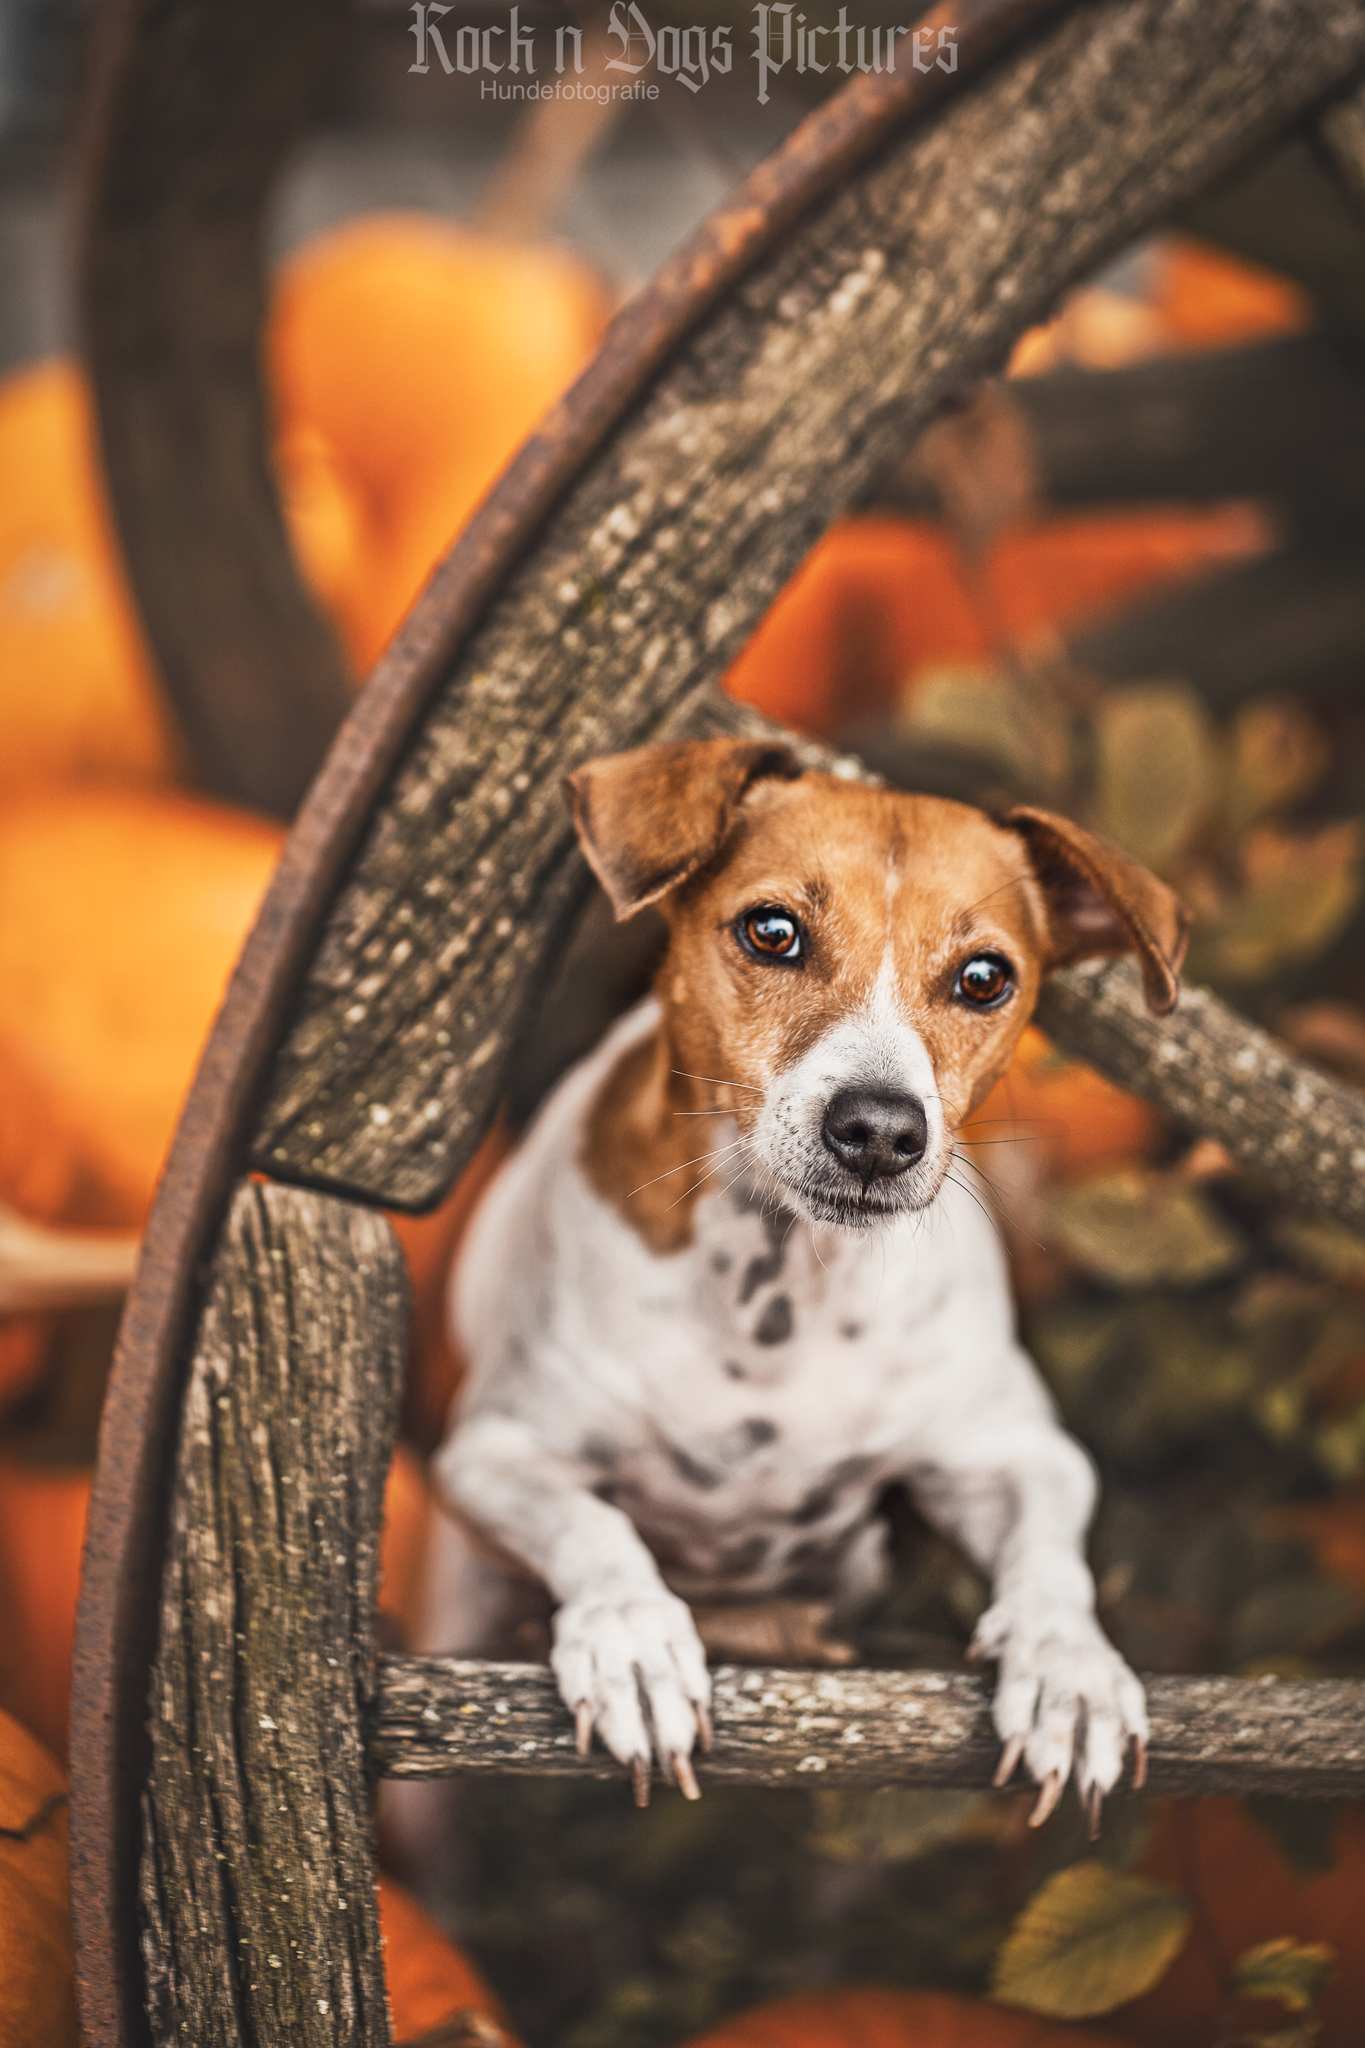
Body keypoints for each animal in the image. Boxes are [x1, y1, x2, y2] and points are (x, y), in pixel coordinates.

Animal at [421, 737, 1186, 1826]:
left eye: (985, 977)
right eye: (772, 931)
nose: (880, 1129)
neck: (778, 1287)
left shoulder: (1017, 1452)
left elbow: (1051, 1557)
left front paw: (1069, 1673)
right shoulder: (494, 1454)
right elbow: (592, 1522)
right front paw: (630, 1637)